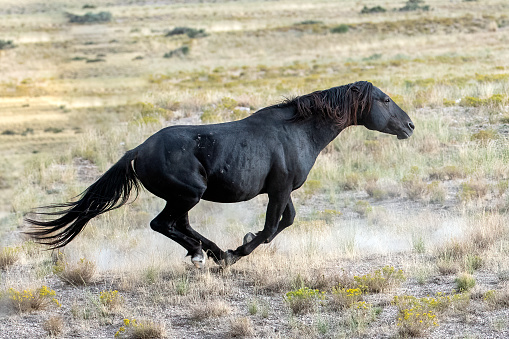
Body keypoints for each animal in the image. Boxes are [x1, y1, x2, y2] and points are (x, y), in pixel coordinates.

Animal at [26, 82, 412, 268]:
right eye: (385, 100)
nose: (409, 126)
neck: (297, 131)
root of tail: (137, 151)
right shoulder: (279, 190)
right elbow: (269, 230)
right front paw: (237, 251)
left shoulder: (283, 191)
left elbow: (285, 222)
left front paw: (235, 247)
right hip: (188, 194)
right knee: (164, 224)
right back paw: (206, 254)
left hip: (182, 198)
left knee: (177, 225)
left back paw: (207, 251)